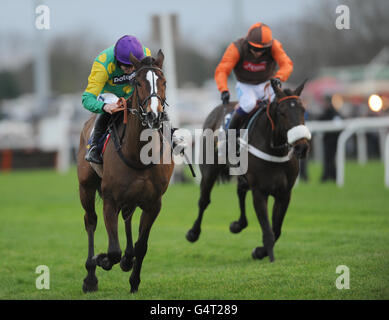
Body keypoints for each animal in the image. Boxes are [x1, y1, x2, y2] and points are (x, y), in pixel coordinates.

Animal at [76, 50, 174, 292]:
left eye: (164, 81)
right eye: (138, 83)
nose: (153, 116)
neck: (138, 155)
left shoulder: (154, 203)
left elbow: (141, 246)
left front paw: (134, 280)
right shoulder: (110, 200)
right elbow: (113, 250)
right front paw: (102, 260)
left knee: (128, 217)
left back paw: (127, 260)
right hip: (86, 187)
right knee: (90, 221)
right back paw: (90, 277)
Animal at [185, 79, 310, 262]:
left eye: (303, 110)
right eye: (282, 113)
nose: (302, 147)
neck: (274, 151)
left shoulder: (285, 193)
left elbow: (276, 229)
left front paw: (260, 251)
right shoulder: (259, 192)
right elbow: (268, 229)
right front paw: (266, 255)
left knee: (240, 191)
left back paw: (238, 224)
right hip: (209, 172)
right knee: (204, 200)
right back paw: (193, 232)